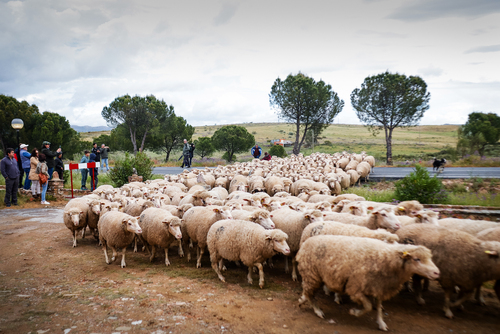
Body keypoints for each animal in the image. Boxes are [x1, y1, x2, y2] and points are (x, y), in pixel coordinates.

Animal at [296, 235, 438, 332]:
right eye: (417, 259)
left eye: (430, 258)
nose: (437, 273)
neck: (387, 259)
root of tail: (306, 242)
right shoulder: (355, 288)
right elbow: (368, 306)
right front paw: (354, 312)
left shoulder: (378, 286)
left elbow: (378, 307)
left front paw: (381, 323)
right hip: (312, 275)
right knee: (311, 294)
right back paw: (317, 311)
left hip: (314, 276)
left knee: (307, 292)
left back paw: (302, 300)